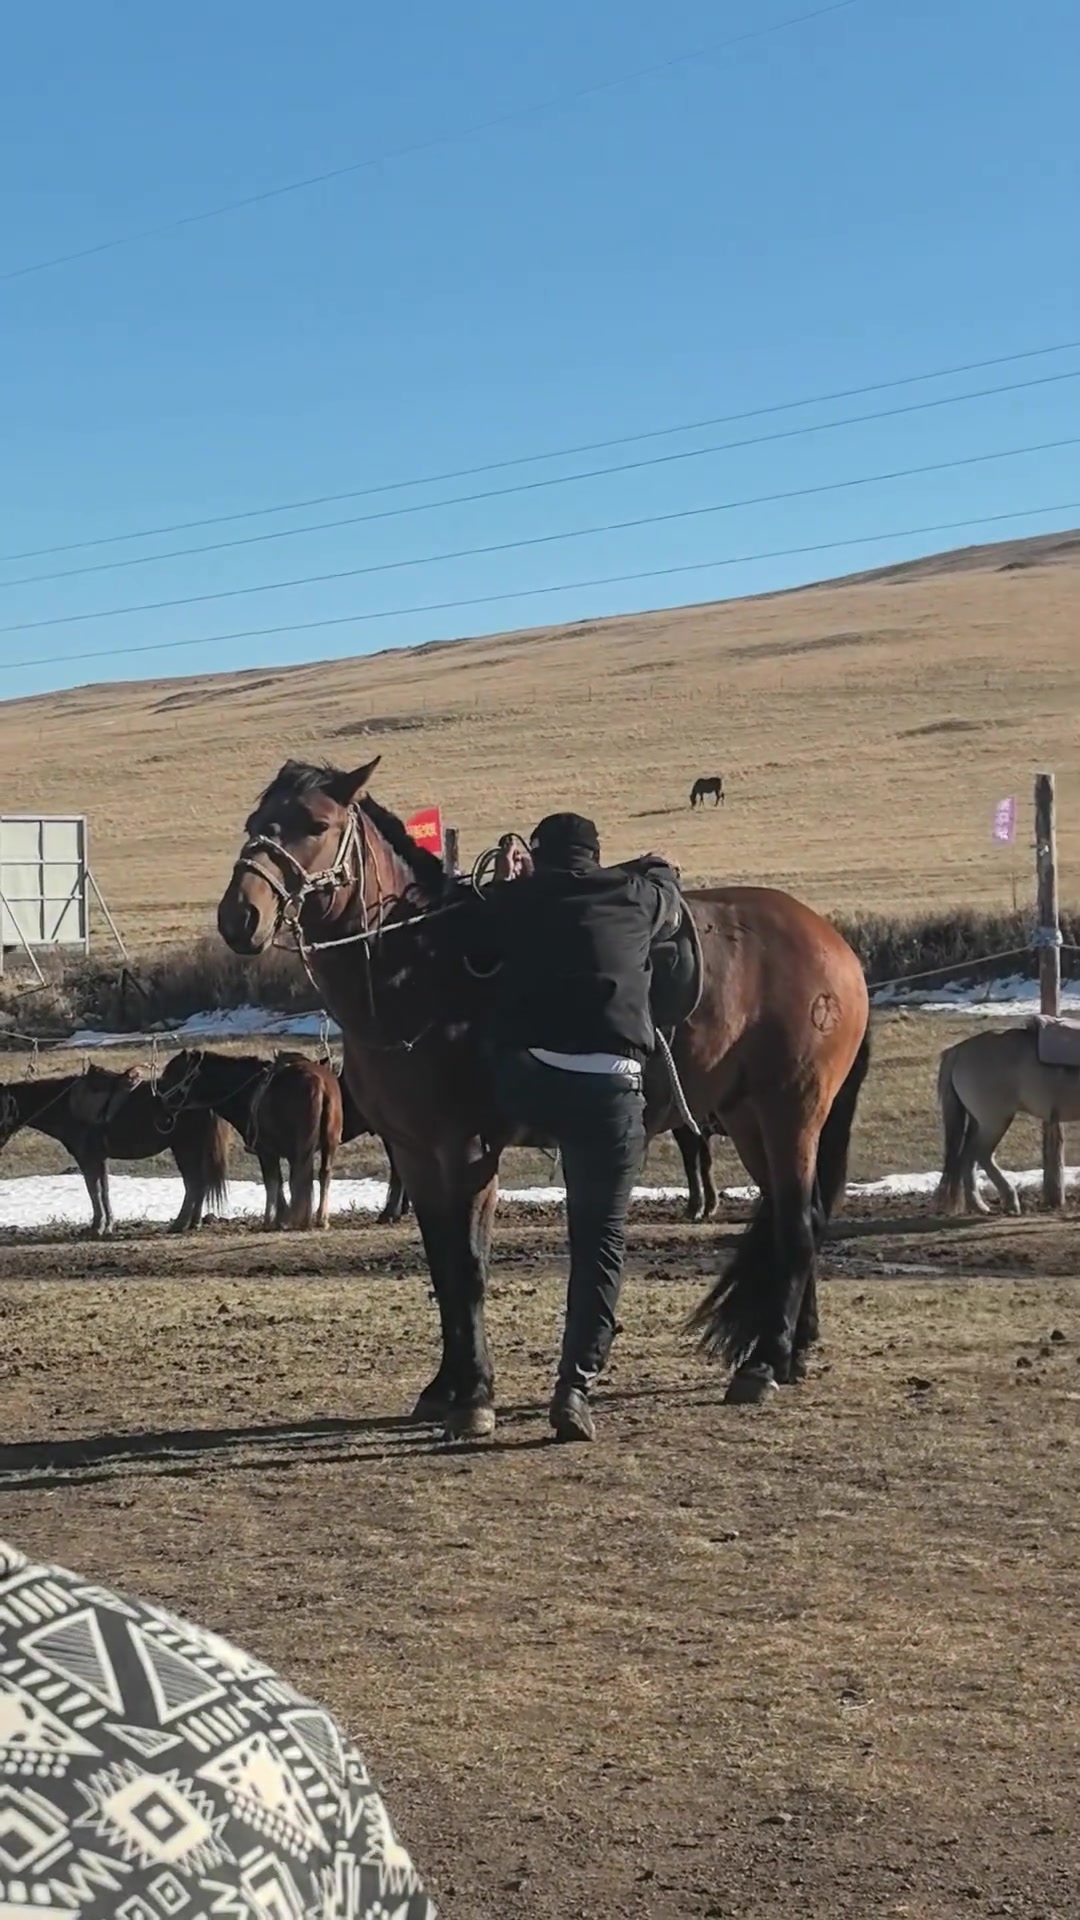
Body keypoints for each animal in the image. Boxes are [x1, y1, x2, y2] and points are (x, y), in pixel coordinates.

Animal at [0, 1067, 228, 1237]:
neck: (66, 1106)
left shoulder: (88, 1158)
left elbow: (94, 1191)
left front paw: (97, 1227)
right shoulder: (99, 1158)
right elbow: (104, 1190)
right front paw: (106, 1225)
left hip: (185, 1147)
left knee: (193, 1183)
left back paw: (180, 1224)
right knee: (199, 1184)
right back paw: (194, 1223)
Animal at [157, 1049, 342, 1230]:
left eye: (174, 1073)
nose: (162, 1103)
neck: (248, 1091)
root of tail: (319, 1083)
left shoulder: (266, 1152)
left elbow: (272, 1182)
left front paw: (271, 1220)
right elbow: (282, 1182)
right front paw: (281, 1217)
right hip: (329, 1144)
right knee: (324, 1174)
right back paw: (321, 1219)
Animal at [216, 755, 870, 1436]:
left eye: (315, 824)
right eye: (256, 821)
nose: (240, 917)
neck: (422, 973)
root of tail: (834, 945)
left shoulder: (467, 1150)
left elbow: (469, 1269)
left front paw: (474, 1396)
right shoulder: (416, 1153)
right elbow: (442, 1266)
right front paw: (445, 1386)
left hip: (791, 1113)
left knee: (796, 1221)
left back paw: (765, 1363)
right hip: (748, 1119)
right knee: (796, 1216)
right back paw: (791, 1351)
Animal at [936, 1019, 1080, 1215]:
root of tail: (959, 1050)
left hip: (978, 1122)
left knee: (968, 1158)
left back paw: (979, 1205)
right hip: (995, 1121)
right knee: (982, 1155)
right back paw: (1010, 1200)